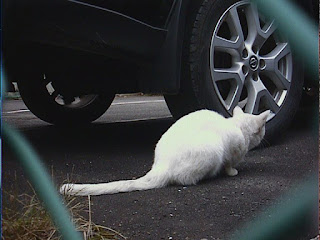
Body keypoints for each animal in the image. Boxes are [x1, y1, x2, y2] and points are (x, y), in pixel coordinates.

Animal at [60, 107, 270, 195]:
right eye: (263, 130)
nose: (264, 137)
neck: (236, 125)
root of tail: (161, 166)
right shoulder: (232, 151)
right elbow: (229, 165)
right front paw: (232, 172)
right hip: (212, 150)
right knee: (185, 180)